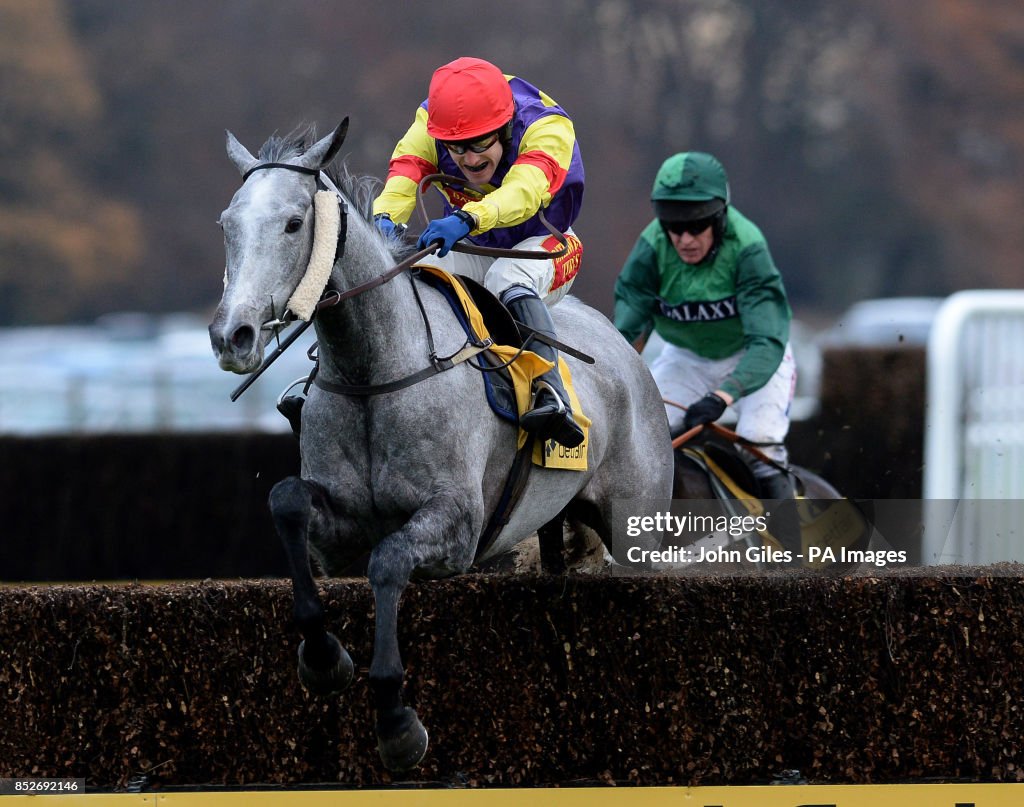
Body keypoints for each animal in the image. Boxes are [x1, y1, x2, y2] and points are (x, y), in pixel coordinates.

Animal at [208, 120, 675, 771]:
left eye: (294, 223)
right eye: (228, 222)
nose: (232, 336)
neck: (375, 370)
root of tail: (629, 355)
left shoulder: (457, 526)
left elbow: (388, 562)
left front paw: (396, 720)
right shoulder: (338, 532)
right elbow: (288, 503)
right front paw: (323, 658)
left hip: (638, 530)